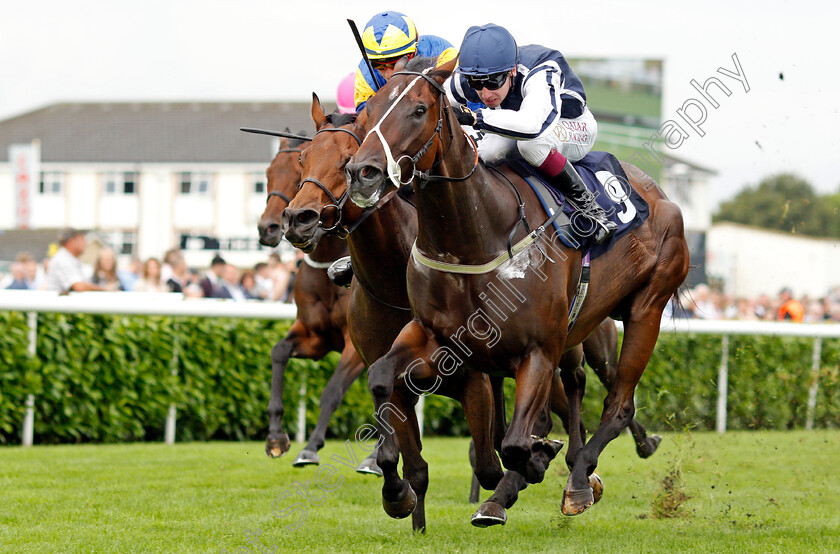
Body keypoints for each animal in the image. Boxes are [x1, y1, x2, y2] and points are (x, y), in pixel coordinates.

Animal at [253, 132, 378, 472]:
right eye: (268, 173)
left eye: (296, 173)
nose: (270, 228)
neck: (327, 265)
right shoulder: (315, 337)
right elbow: (278, 352)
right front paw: (275, 437)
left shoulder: (354, 343)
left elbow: (333, 390)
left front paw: (310, 447)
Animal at [342, 58, 688, 516]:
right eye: (367, 114)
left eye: (419, 110)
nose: (362, 173)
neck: (473, 239)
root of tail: (659, 191)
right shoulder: (438, 338)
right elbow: (382, 376)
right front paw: (397, 491)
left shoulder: (538, 349)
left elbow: (516, 445)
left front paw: (536, 464)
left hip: (646, 308)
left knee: (617, 404)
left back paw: (578, 483)